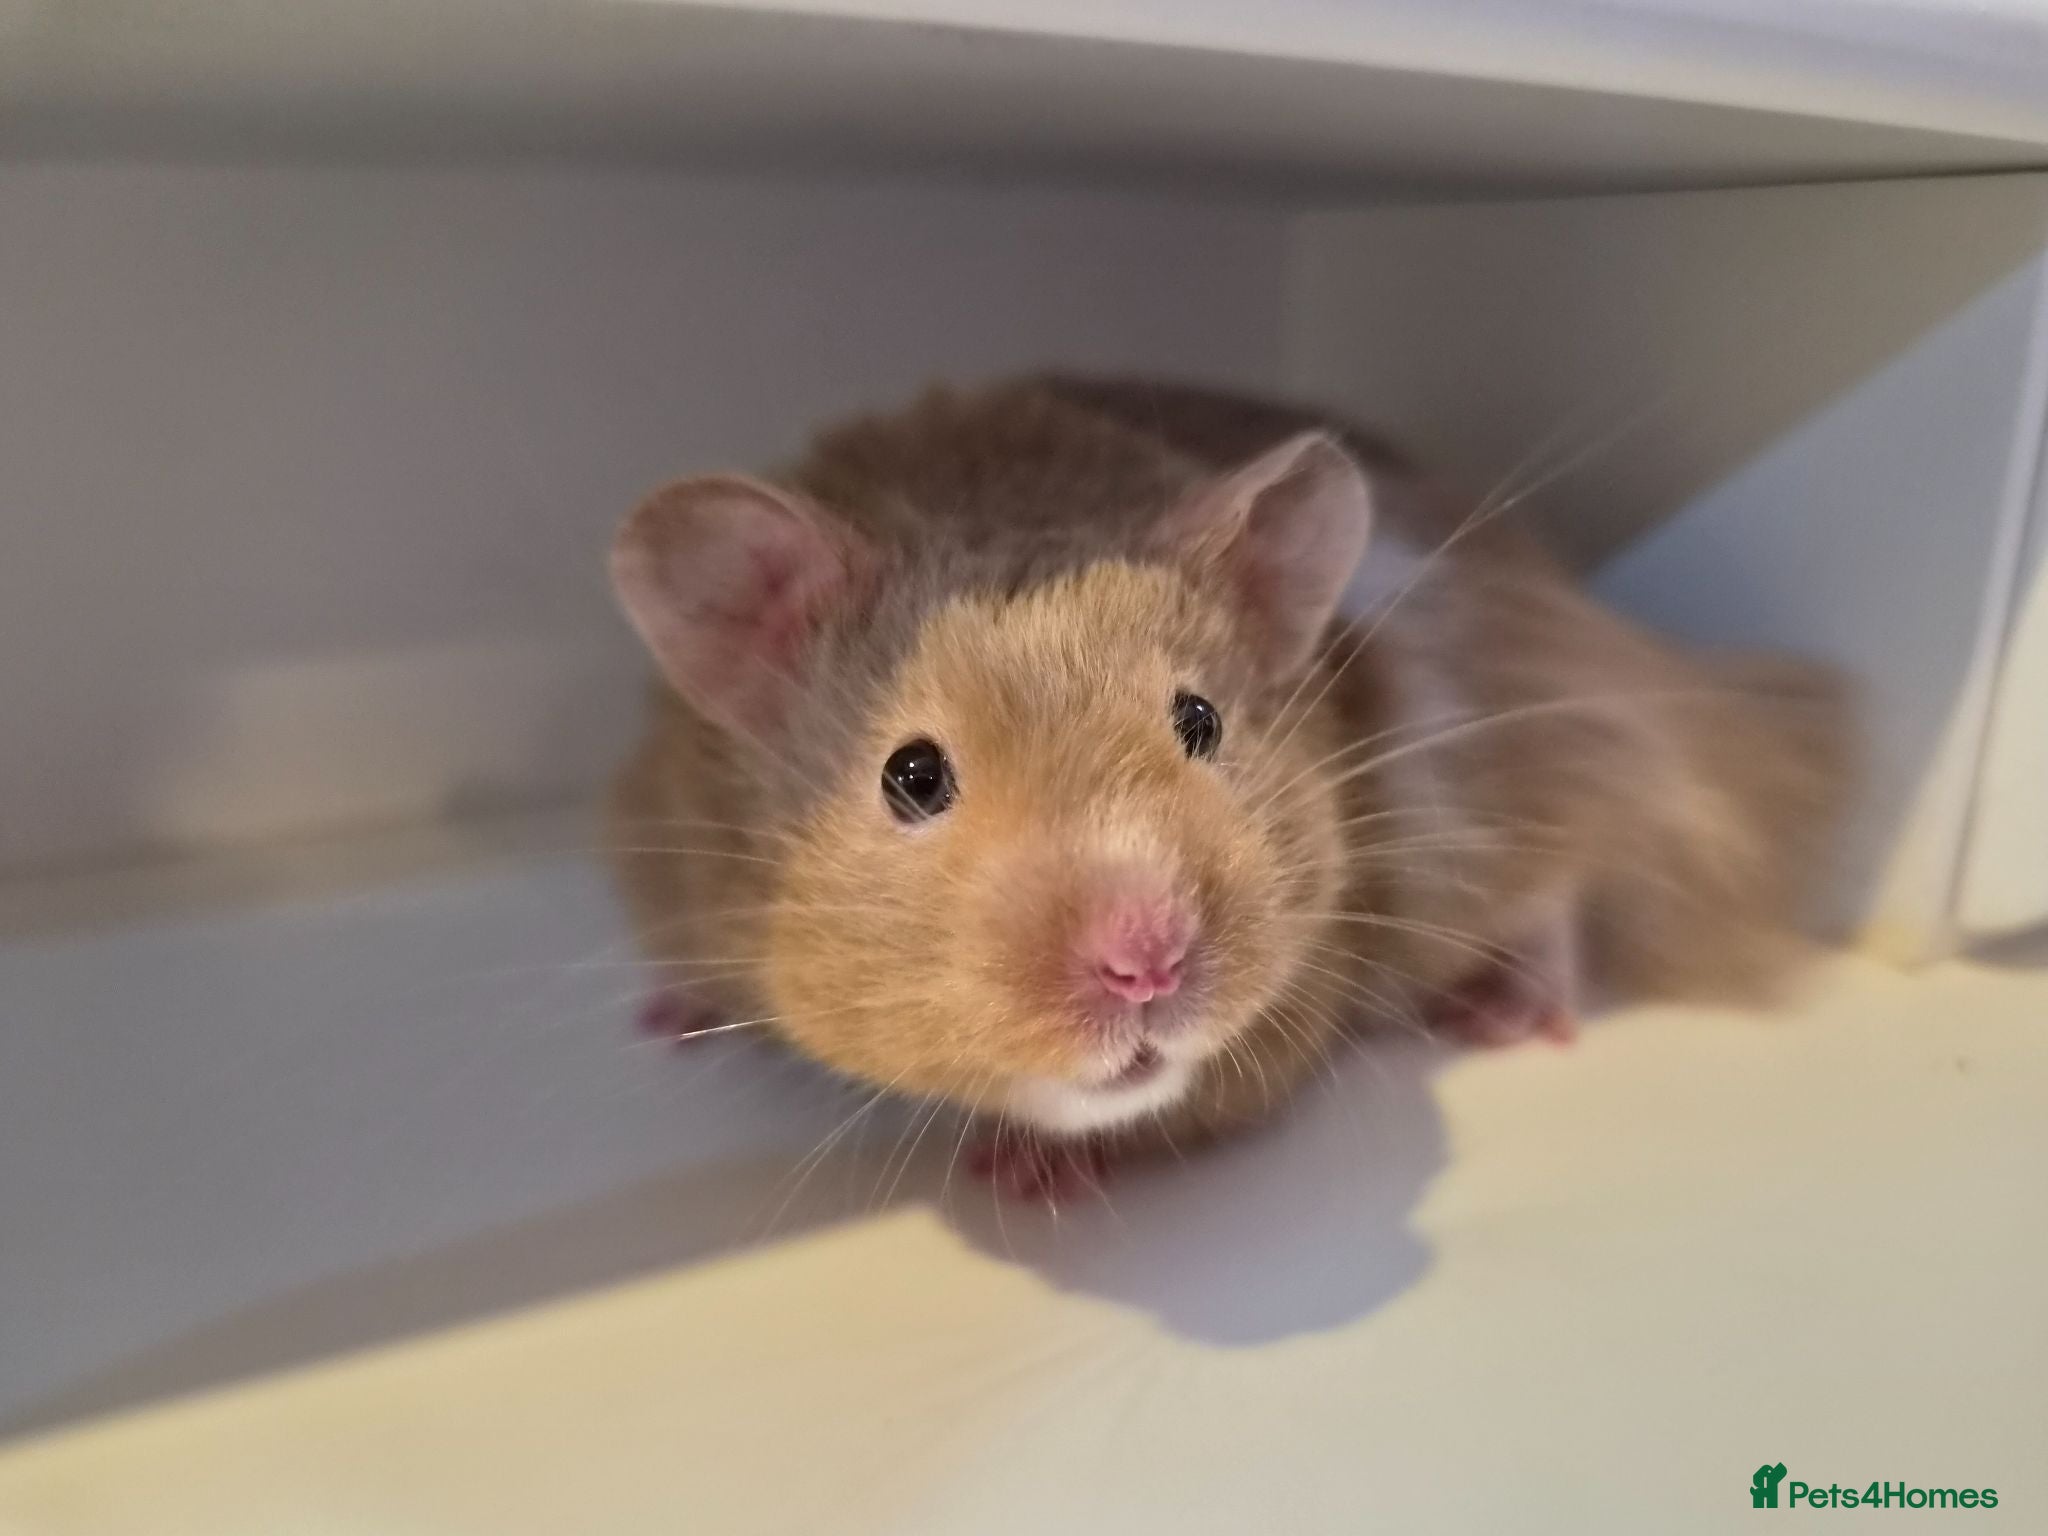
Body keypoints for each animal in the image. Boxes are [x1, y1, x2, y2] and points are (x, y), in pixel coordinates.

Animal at [606, 376, 1851, 1198]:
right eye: (910, 775)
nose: (1146, 963)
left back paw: (1503, 1012)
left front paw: (1013, 1174)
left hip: (1504, 787)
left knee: (1568, 872)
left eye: (1199, 721)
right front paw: (667, 1021)